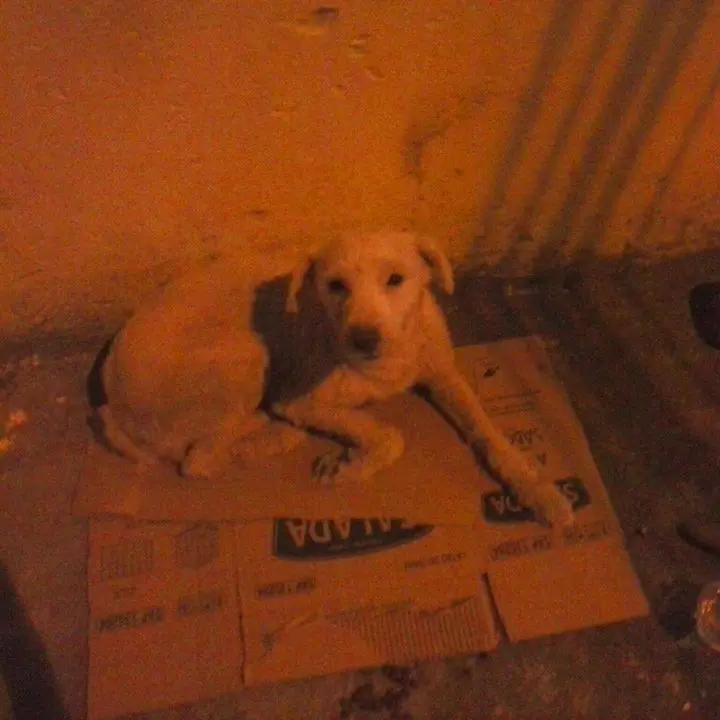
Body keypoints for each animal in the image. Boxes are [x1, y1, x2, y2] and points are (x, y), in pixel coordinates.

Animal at [98, 230, 574, 527]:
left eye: (396, 279)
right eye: (335, 285)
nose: (363, 339)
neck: (390, 360)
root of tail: (111, 405)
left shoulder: (445, 374)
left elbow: (491, 436)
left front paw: (540, 491)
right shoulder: (298, 399)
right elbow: (388, 436)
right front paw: (351, 467)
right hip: (246, 356)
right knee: (199, 461)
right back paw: (273, 436)